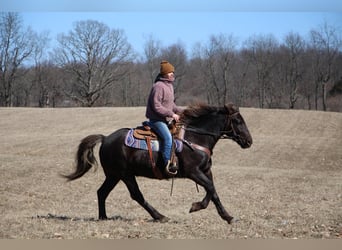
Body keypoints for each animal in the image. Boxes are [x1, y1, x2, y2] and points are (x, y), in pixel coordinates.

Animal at [62, 102, 252, 224]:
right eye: (238, 121)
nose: (249, 141)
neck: (196, 137)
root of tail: (106, 138)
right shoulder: (193, 172)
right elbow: (211, 189)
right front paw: (208, 210)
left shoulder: (205, 171)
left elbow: (212, 191)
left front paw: (216, 212)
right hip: (125, 175)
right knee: (136, 195)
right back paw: (160, 216)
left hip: (113, 175)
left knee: (101, 192)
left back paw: (103, 217)